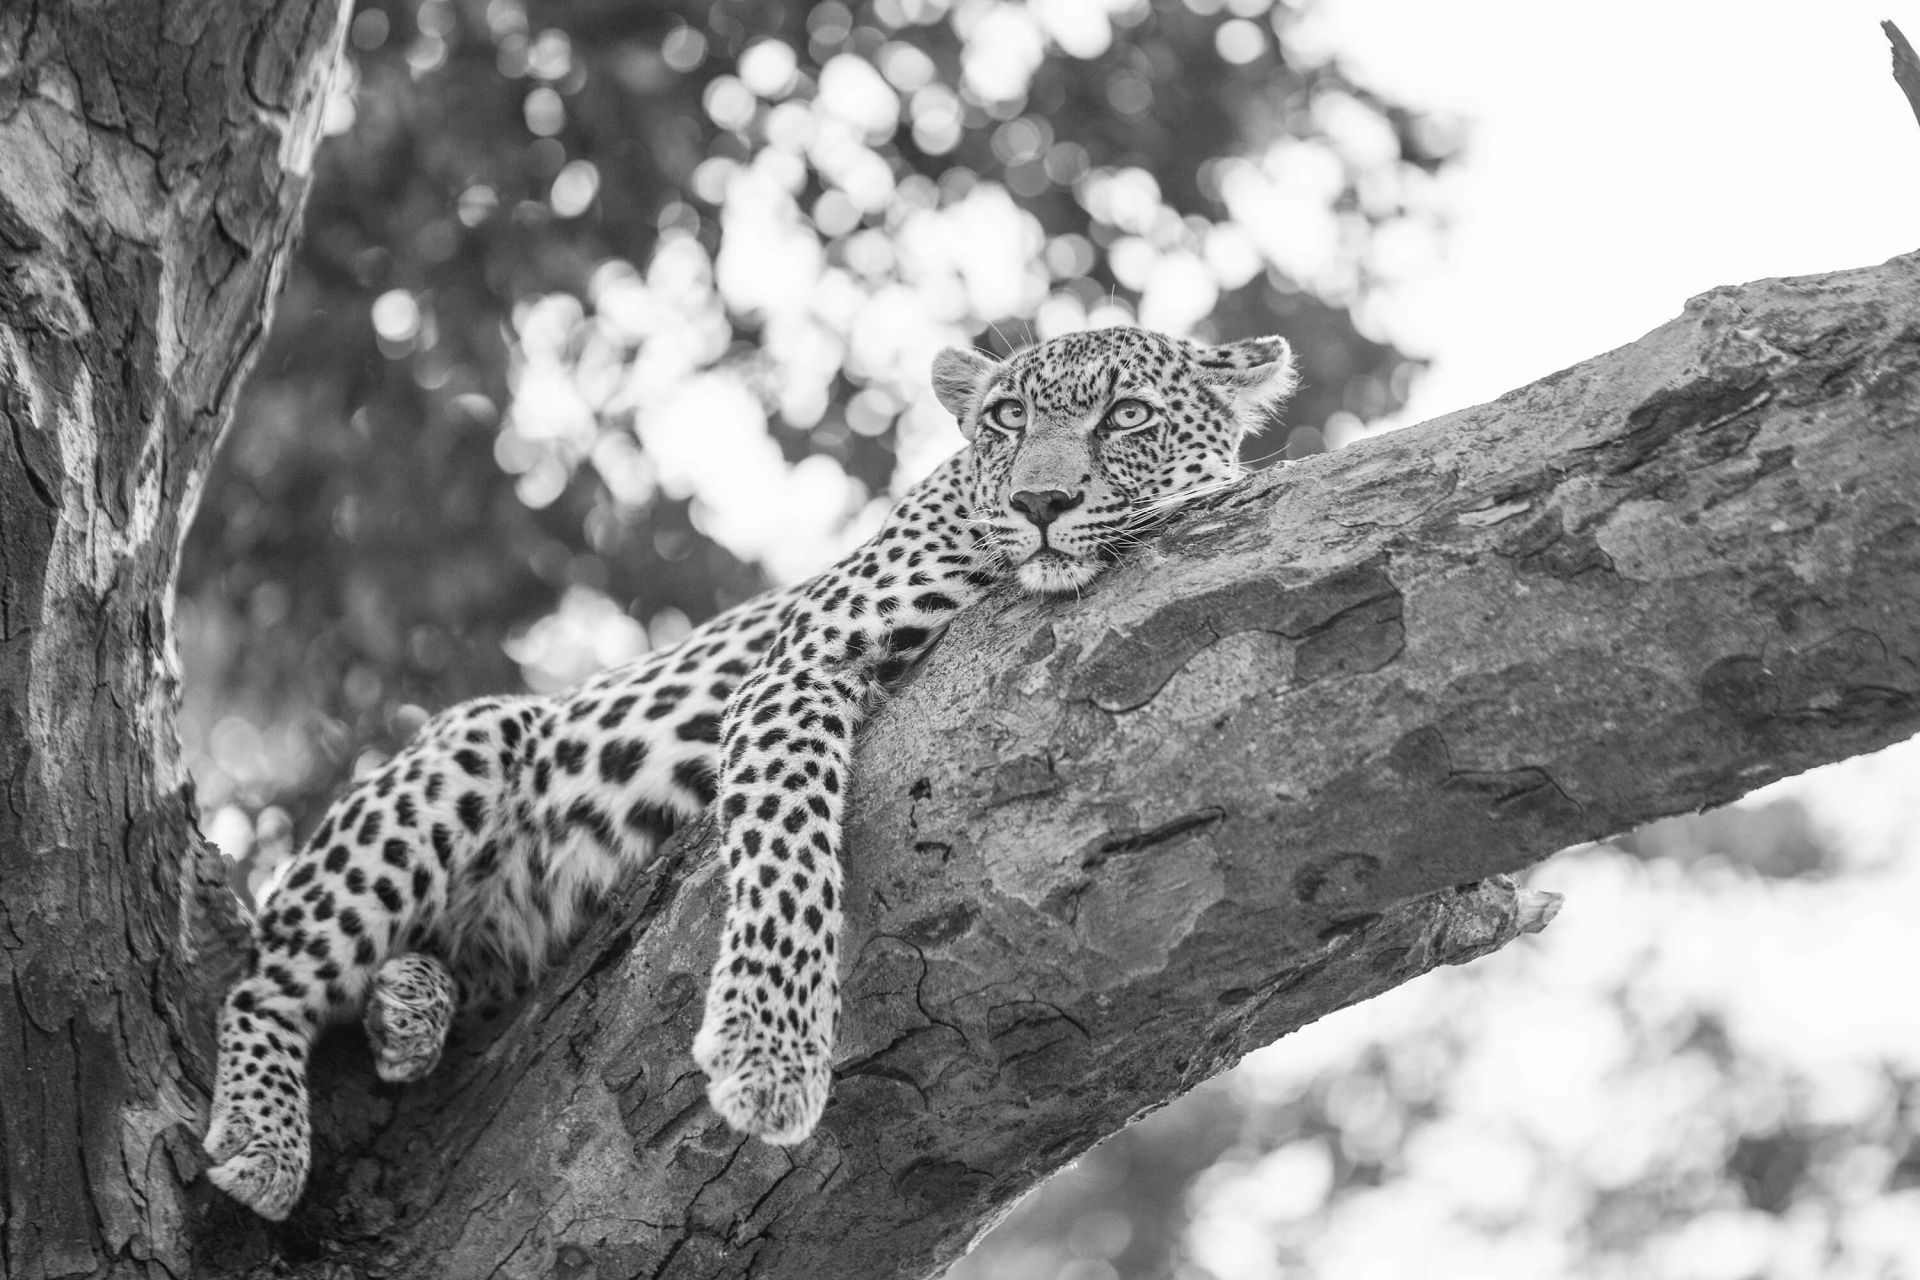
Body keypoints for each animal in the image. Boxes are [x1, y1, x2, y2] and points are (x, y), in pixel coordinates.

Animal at [202, 325, 1298, 1220]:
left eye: (1128, 417)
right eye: (1008, 418)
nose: (1040, 500)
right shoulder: (795, 667)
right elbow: (785, 854)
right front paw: (768, 1054)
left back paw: (409, 1007)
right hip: (477, 739)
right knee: (267, 976)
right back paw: (265, 1136)